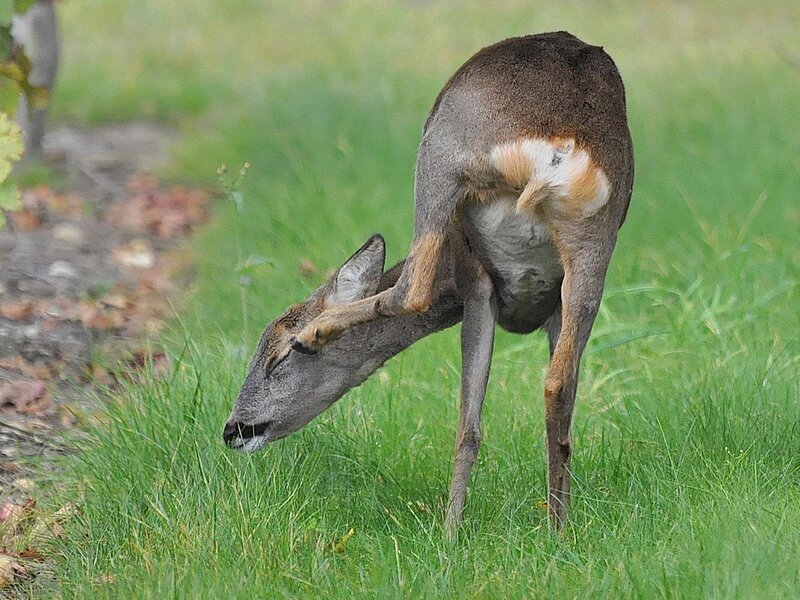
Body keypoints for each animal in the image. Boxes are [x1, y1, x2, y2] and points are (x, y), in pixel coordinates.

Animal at [223, 31, 634, 535]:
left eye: (278, 355)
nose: (233, 430)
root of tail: (557, 150)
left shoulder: (475, 281)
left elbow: (467, 422)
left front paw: (452, 531)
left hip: (439, 163)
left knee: (413, 289)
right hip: (595, 245)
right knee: (560, 384)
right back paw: (559, 529)